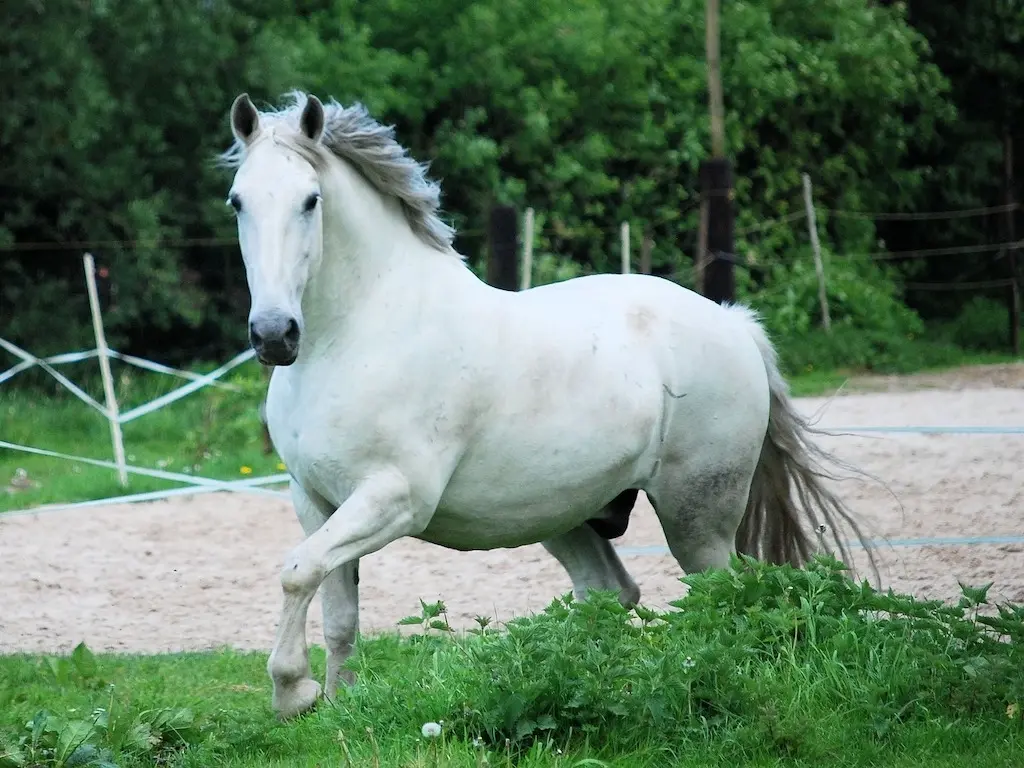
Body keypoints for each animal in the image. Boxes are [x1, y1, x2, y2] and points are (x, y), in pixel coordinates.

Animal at [218, 91, 872, 720]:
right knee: (610, 592)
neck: (356, 334)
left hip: (699, 517)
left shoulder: (394, 498)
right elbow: (336, 609)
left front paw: (293, 692)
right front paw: (337, 705)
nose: (273, 335)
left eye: (310, 201)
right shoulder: (316, 500)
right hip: (567, 515)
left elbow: (297, 572)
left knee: (720, 596)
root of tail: (734, 323)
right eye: (237, 202)